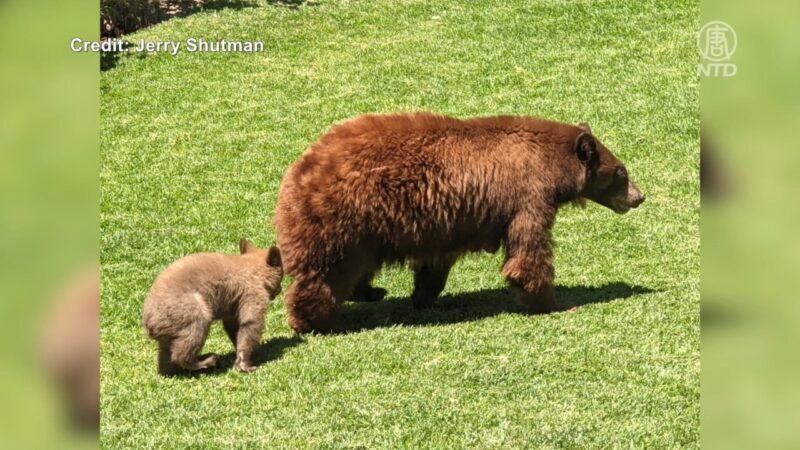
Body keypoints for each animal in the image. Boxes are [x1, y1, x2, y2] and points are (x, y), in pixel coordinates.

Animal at [276, 112, 644, 332]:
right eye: (621, 172)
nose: (639, 197)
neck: (551, 165)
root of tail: (296, 173)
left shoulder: (447, 223)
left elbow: (436, 264)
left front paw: (423, 296)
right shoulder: (528, 197)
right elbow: (528, 253)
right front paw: (555, 303)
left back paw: (371, 291)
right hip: (341, 219)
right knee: (327, 272)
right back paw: (312, 320)